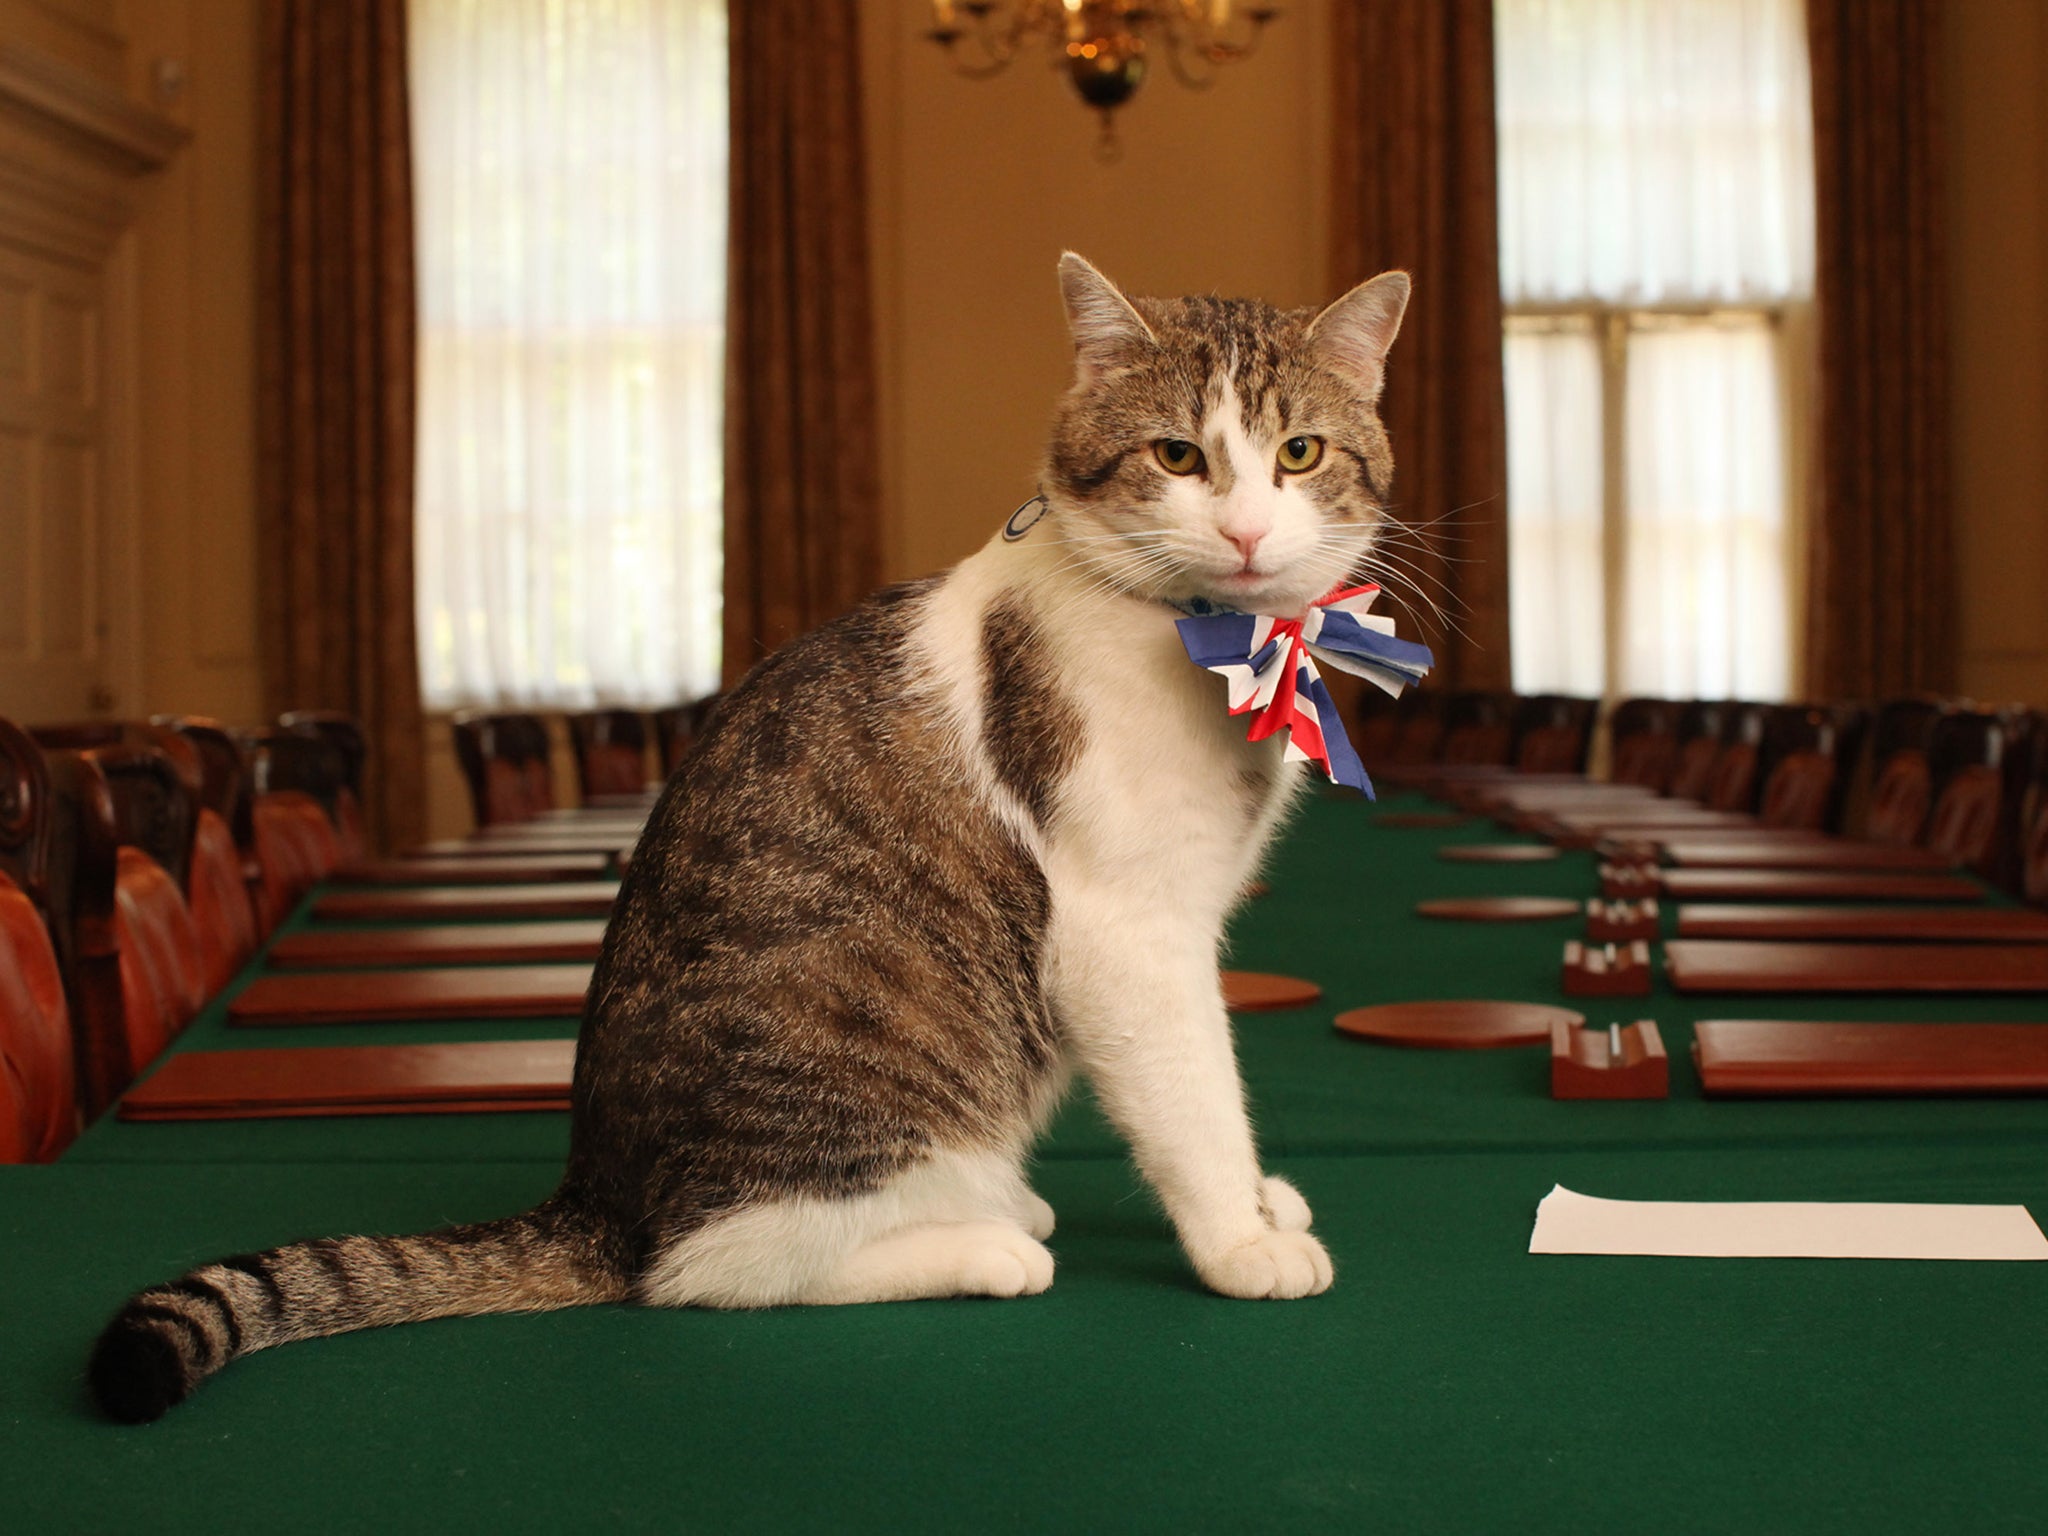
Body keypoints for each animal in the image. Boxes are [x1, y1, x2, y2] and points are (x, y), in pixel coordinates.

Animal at [88, 249, 1417, 1417]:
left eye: (1297, 454)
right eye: (1177, 456)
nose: (1244, 532)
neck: (1213, 642)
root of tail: (597, 1197)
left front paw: (1259, 1208)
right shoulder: (1128, 932)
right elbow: (1196, 1095)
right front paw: (1239, 1242)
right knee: (700, 1272)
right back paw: (982, 1243)